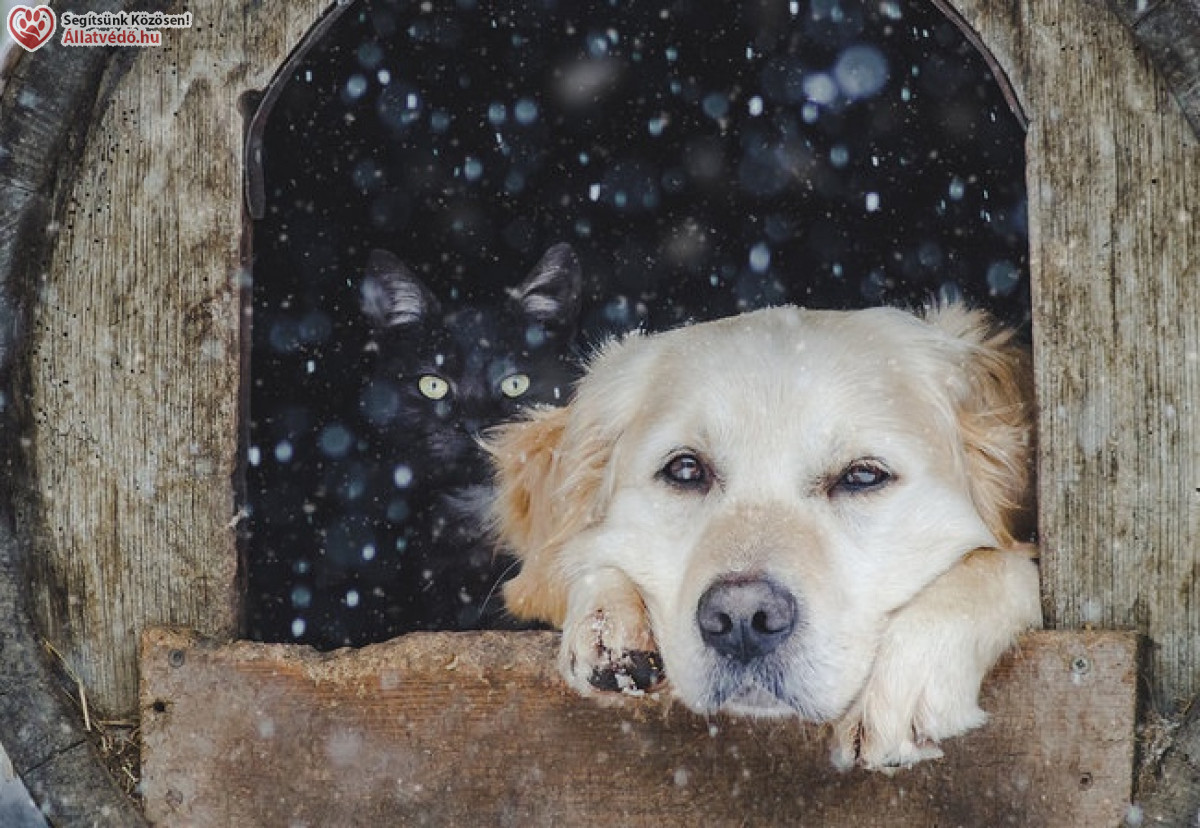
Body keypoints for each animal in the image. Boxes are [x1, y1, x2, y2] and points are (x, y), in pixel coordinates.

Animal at [484, 303, 1041, 768]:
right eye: (685, 469)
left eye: (863, 476)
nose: (741, 620)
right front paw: (609, 615)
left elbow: (1004, 565)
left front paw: (901, 681)